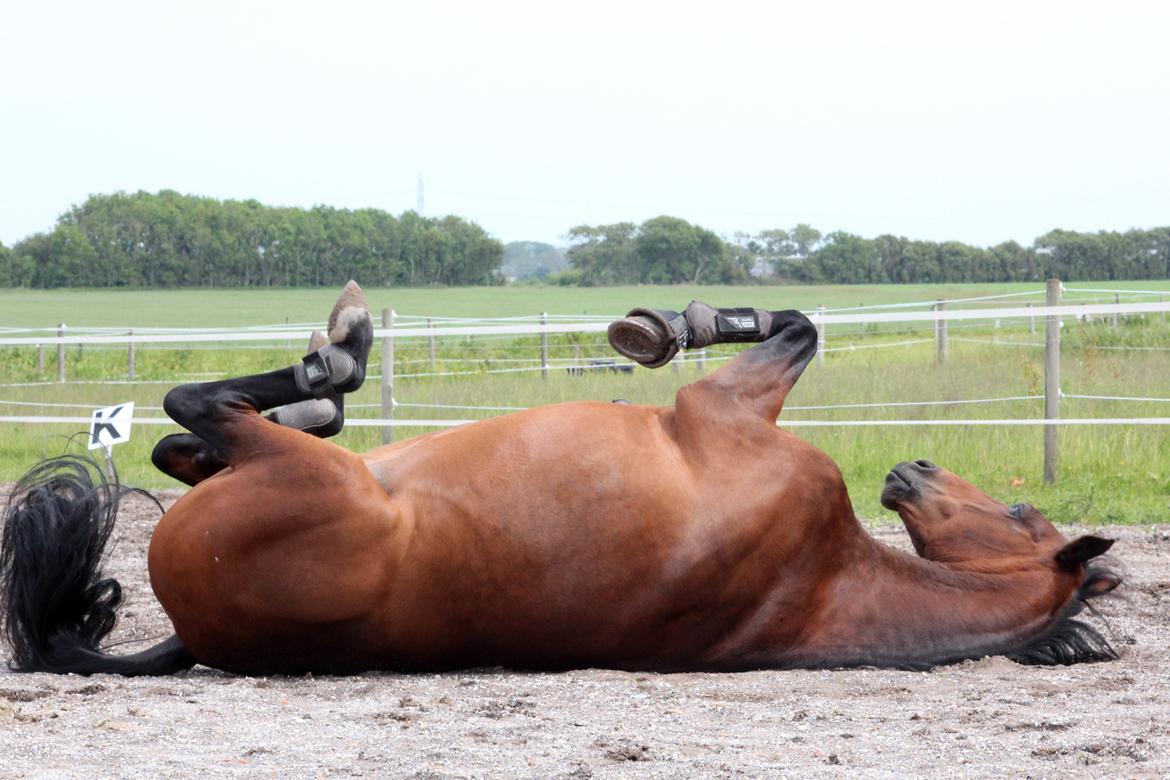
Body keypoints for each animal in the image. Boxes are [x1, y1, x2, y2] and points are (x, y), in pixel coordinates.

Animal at [0, 286, 1118, 678]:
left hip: (312, 482)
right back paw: (320, 390)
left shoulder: (721, 411)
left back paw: (336, 361)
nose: (912, 467)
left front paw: (666, 328)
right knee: (187, 444)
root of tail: (196, 628)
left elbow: (798, 327)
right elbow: (803, 324)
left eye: (1020, 507)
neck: (820, 574)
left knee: (197, 408)